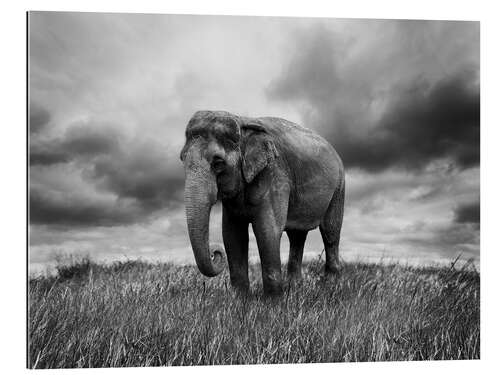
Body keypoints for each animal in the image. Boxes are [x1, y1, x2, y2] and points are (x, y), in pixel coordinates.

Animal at [180, 110, 344, 296]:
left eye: (218, 162)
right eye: (182, 159)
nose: (215, 252)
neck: (243, 121)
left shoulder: (275, 174)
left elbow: (267, 230)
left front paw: (272, 301)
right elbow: (232, 234)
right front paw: (240, 299)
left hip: (339, 187)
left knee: (330, 232)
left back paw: (331, 287)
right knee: (297, 236)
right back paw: (295, 288)